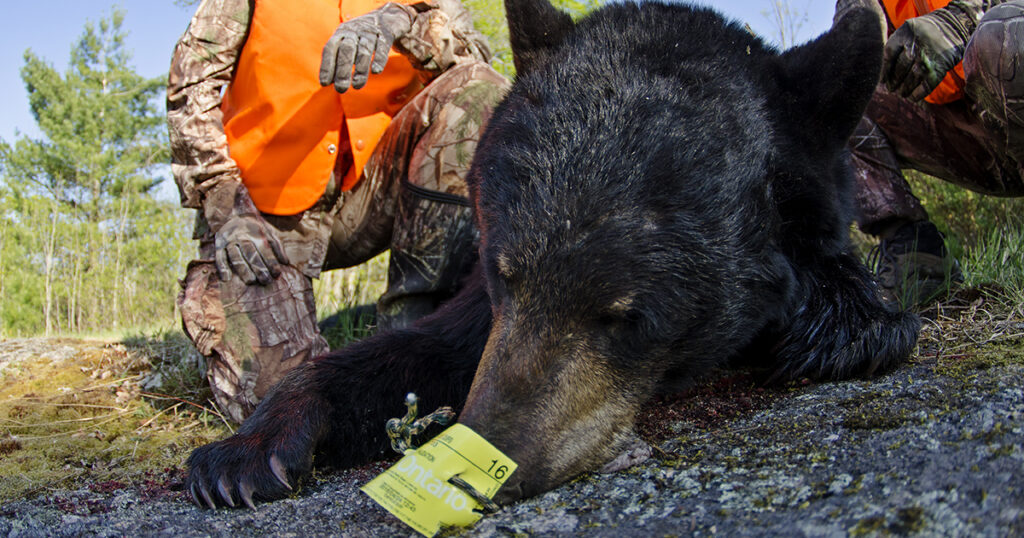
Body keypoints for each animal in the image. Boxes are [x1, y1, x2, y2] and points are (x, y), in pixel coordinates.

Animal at [183, 0, 920, 509]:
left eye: (631, 316)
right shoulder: (484, 309)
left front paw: (838, 323)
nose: (477, 466)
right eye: (506, 274)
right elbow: (408, 352)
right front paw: (242, 455)